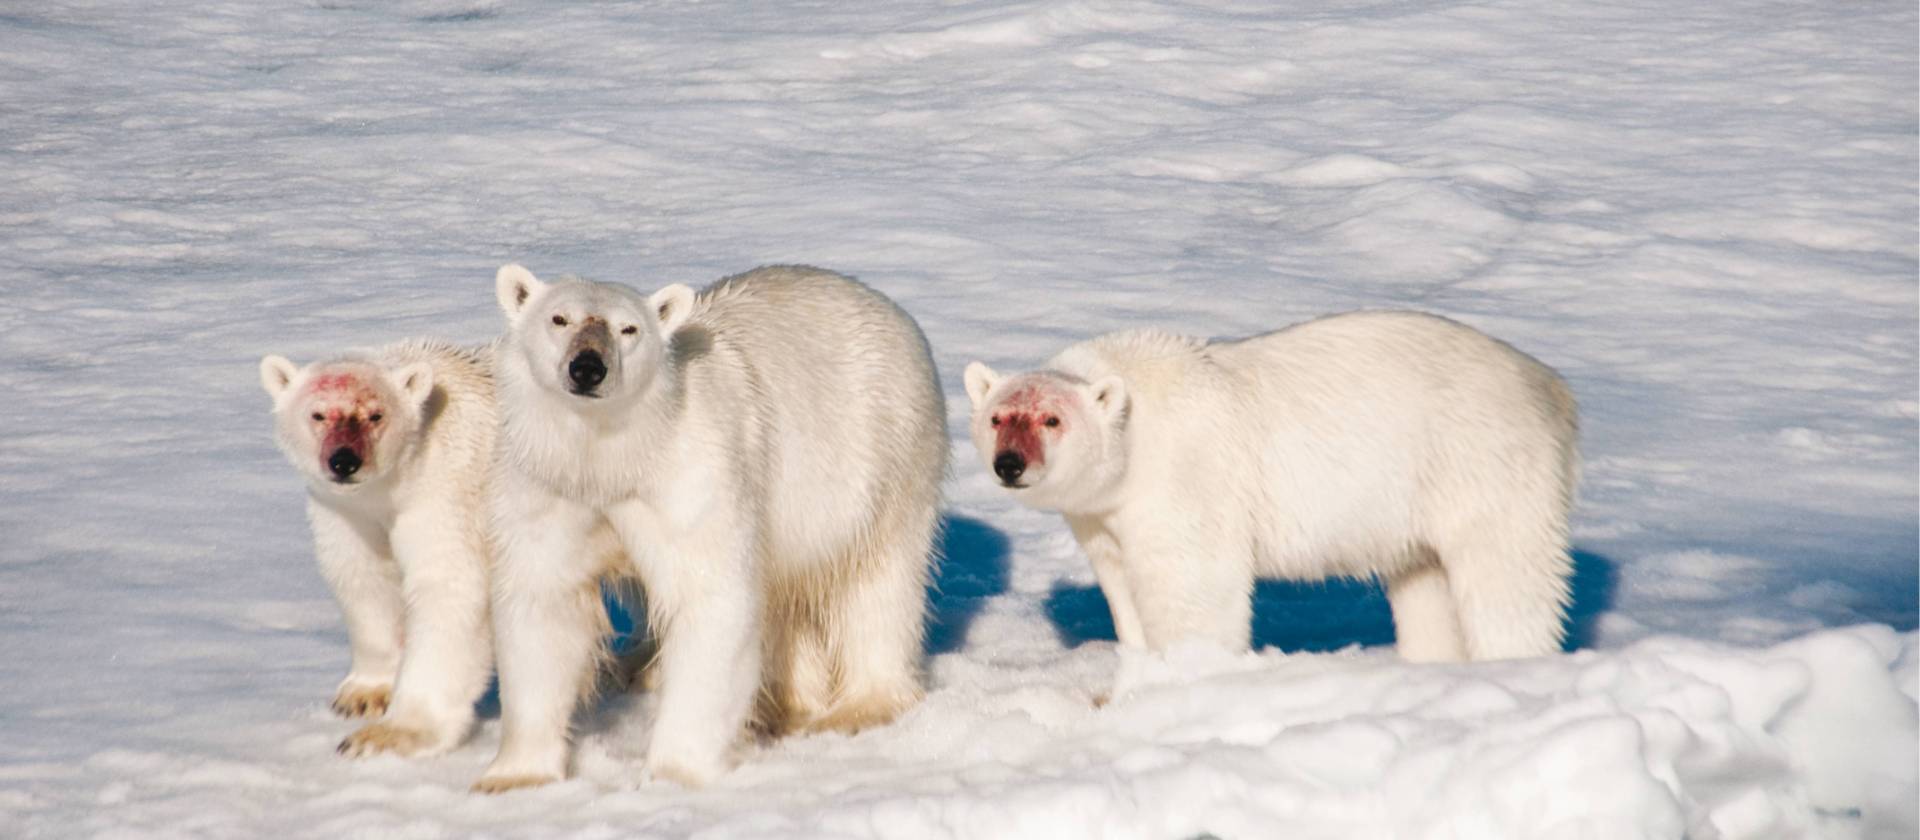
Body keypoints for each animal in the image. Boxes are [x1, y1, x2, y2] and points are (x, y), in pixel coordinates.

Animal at [258, 340, 496, 757]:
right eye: (318, 414)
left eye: (375, 415)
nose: (343, 461)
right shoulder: (346, 510)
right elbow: (363, 576)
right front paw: (364, 695)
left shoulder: (448, 492)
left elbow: (448, 586)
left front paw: (389, 734)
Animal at [475, 264, 947, 793]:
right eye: (559, 318)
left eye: (628, 328)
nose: (588, 367)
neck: (617, 460)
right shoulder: (549, 488)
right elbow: (543, 607)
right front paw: (514, 776)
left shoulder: (693, 480)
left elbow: (710, 599)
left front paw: (674, 774)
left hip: (884, 461)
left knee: (876, 584)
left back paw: (860, 706)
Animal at [963, 311, 1579, 666]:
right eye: (998, 417)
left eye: (1051, 420)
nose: (1010, 464)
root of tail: (1551, 385)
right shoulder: (1101, 515)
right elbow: (1121, 582)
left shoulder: (1186, 475)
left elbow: (1193, 583)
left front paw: (1190, 668)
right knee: (1426, 583)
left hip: (1481, 461)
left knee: (1505, 578)